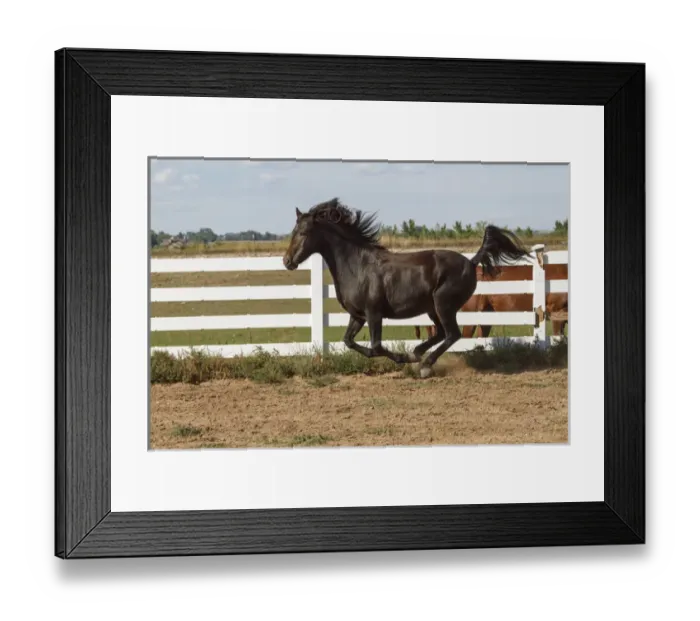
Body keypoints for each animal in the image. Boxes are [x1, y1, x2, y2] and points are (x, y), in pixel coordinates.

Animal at [282, 198, 533, 378]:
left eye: (303, 233)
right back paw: (418, 354)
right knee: (442, 333)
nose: (287, 261)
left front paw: (403, 359)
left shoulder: (374, 314)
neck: (357, 266)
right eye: (292, 232)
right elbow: (349, 341)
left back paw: (424, 365)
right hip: (432, 309)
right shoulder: (358, 315)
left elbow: (376, 347)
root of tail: (472, 262)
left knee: (452, 334)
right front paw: (408, 357)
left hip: (443, 305)